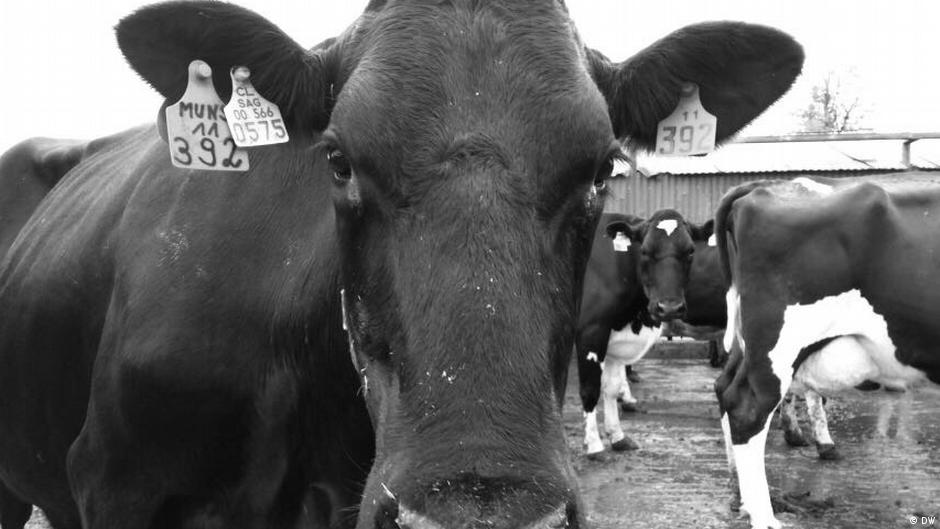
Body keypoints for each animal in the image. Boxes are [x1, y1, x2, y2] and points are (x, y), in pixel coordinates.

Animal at [576, 209, 712, 456]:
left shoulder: (614, 337)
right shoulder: (590, 331)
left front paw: (618, 437)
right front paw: (594, 445)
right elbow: (590, 389)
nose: (669, 308)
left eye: (690, 250)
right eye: (645, 251)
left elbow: (611, 388)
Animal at [714, 175, 940, 529]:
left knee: (725, 388)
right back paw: (764, 515)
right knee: (746, 408)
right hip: (778, 345)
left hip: (747, 344)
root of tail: (763, 187)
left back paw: (743, 499)